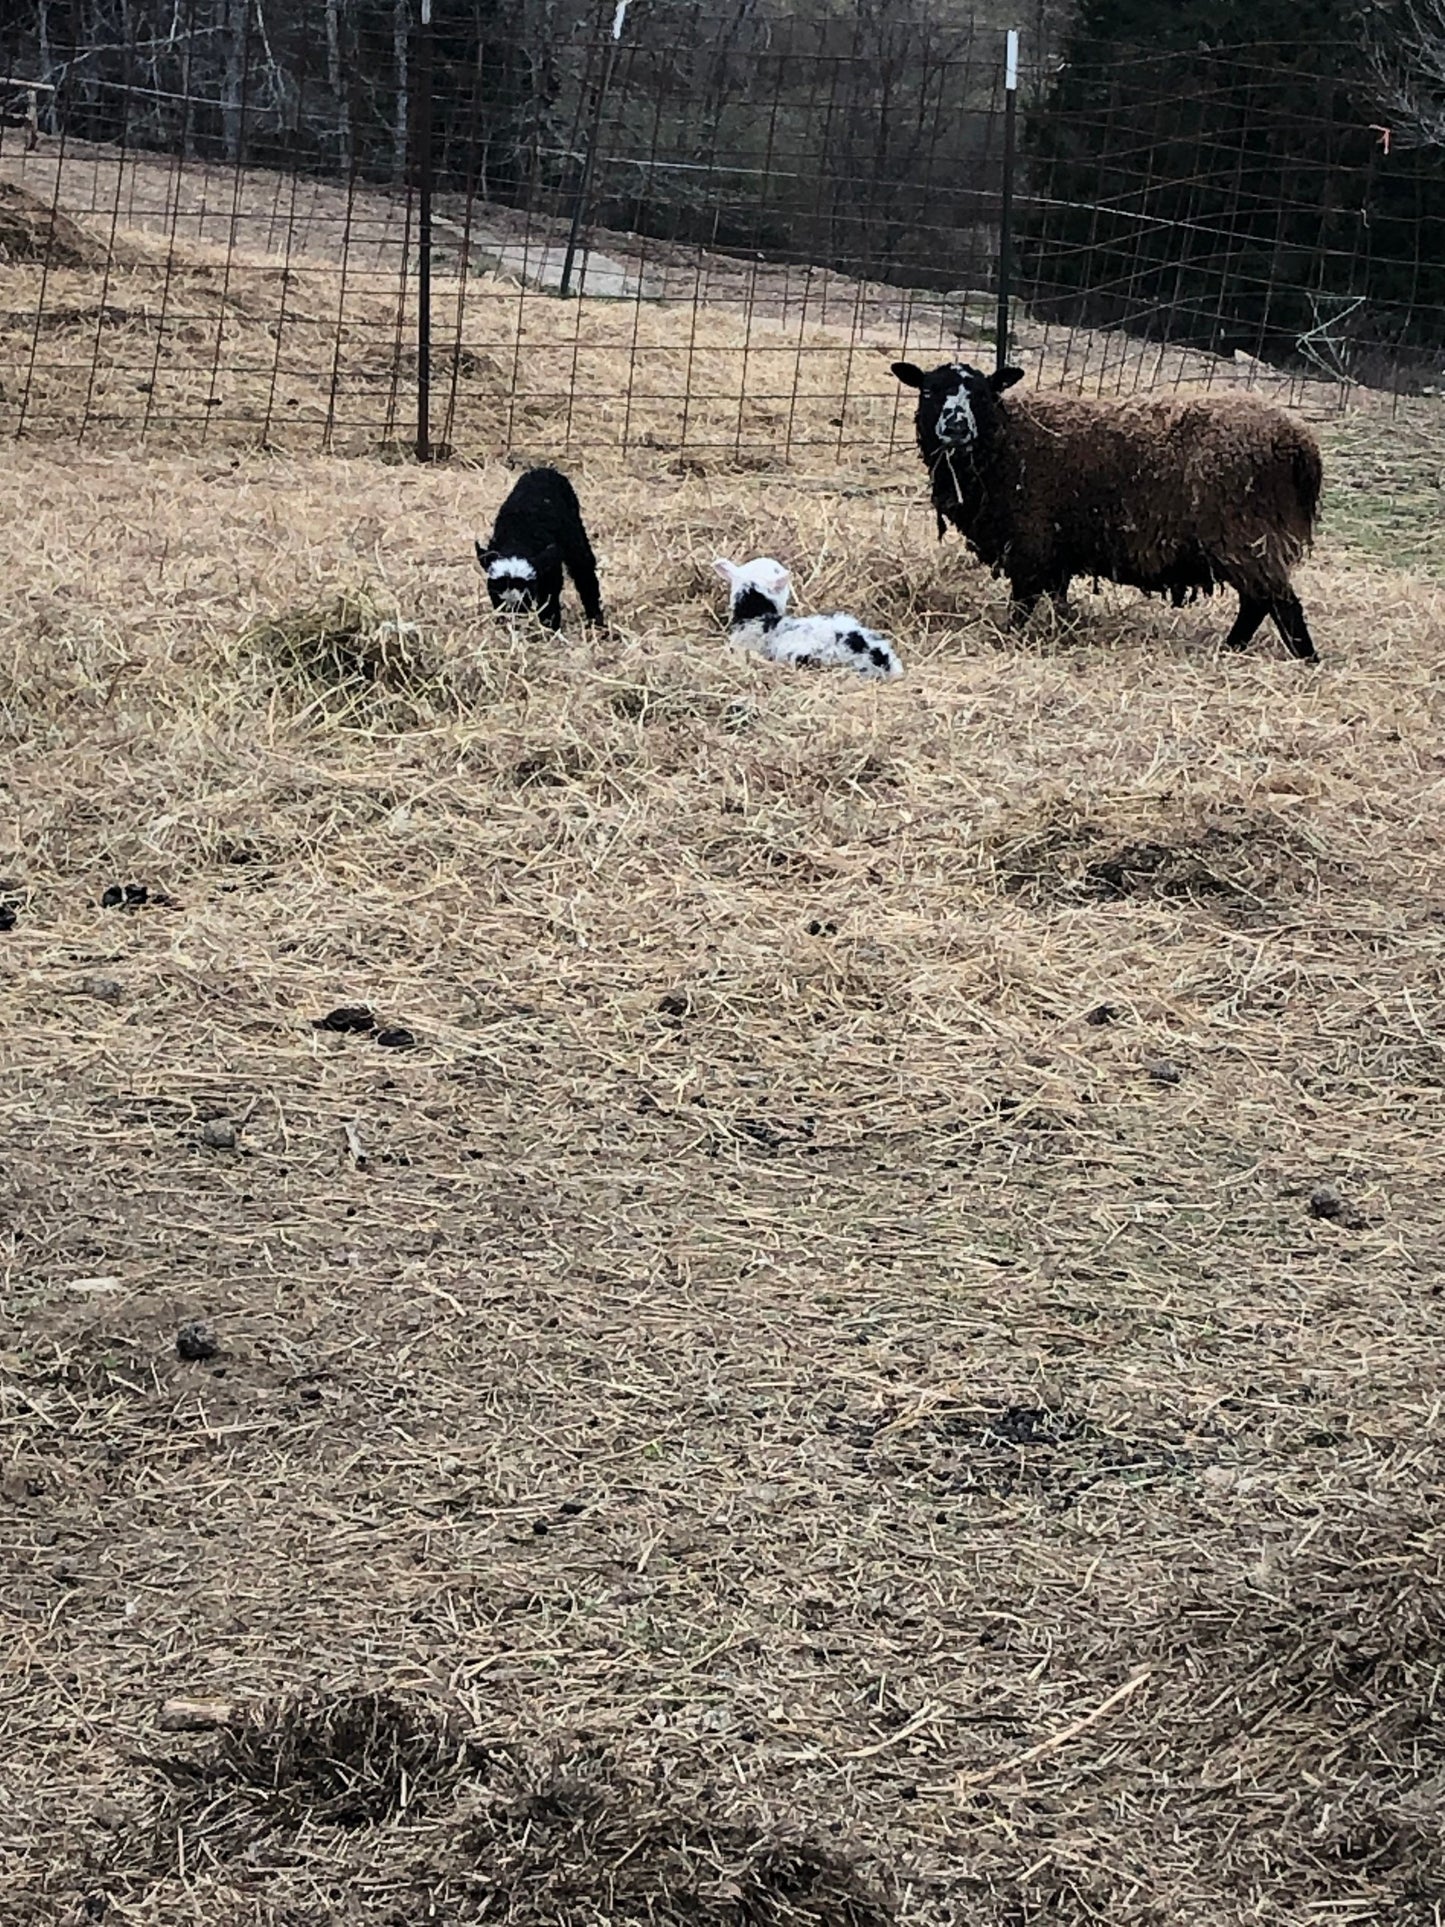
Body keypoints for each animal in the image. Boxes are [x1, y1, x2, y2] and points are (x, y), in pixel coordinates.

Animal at [475, 466, 604, 632]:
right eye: (494, 591)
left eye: (526, 594)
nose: (512, 611)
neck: (517, 538)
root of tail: (544, 469)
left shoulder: (550, 571)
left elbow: (549, 600)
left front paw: (550, 627)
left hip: (574, 533)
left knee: (584, 569)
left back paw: (596, 620)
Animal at [901, 362, 1333, 662]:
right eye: (928, 391)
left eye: (981, 395)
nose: (956, 427)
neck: (1004, 441)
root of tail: (1300, 442)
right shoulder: (1056, 550)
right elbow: (1057, 599)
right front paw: (1063, 631)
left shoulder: (1029, 542)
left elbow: (1022, 603)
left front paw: (1010, 638)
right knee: (1261, 601)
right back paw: (1234, 650)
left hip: (1247, 534)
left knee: (1278, 602)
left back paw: (1302, 658)